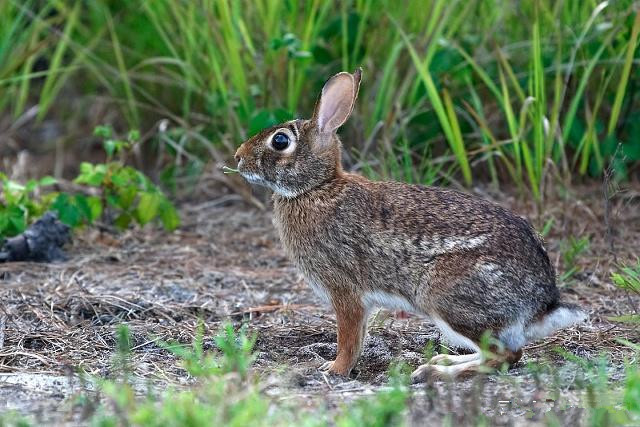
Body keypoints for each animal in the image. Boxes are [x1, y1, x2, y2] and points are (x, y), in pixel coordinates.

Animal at [232, 68, 588, 382]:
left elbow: (349, 338)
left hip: (445, 296)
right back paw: (443, 360)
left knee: (507, 356)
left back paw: (434, 372)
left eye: (280, 141)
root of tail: (543, 304)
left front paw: (334, 370)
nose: (238, 157)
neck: (316, 188)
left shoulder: (344, 290)